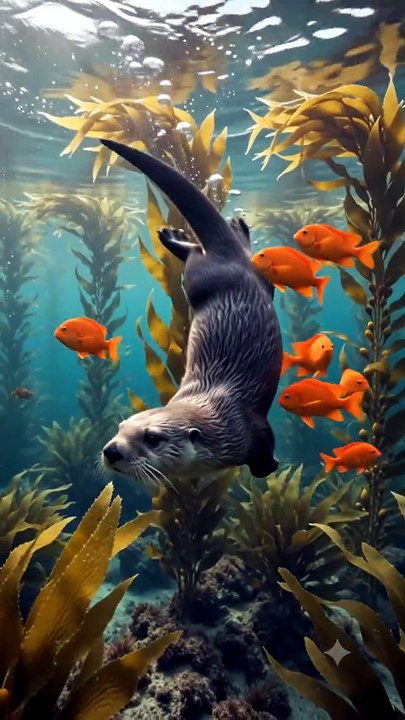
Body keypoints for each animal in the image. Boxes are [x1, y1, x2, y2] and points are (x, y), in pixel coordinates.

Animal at [101, 139, 282, 483]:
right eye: (119, 427)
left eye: (152, 438)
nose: (112, 450)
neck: (222, 423)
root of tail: (227, 254)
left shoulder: (255, 430)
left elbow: (266, 452)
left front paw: (269, 466)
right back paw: (226, 230)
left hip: (204, 277)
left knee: (200, 255)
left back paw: (183, 237)